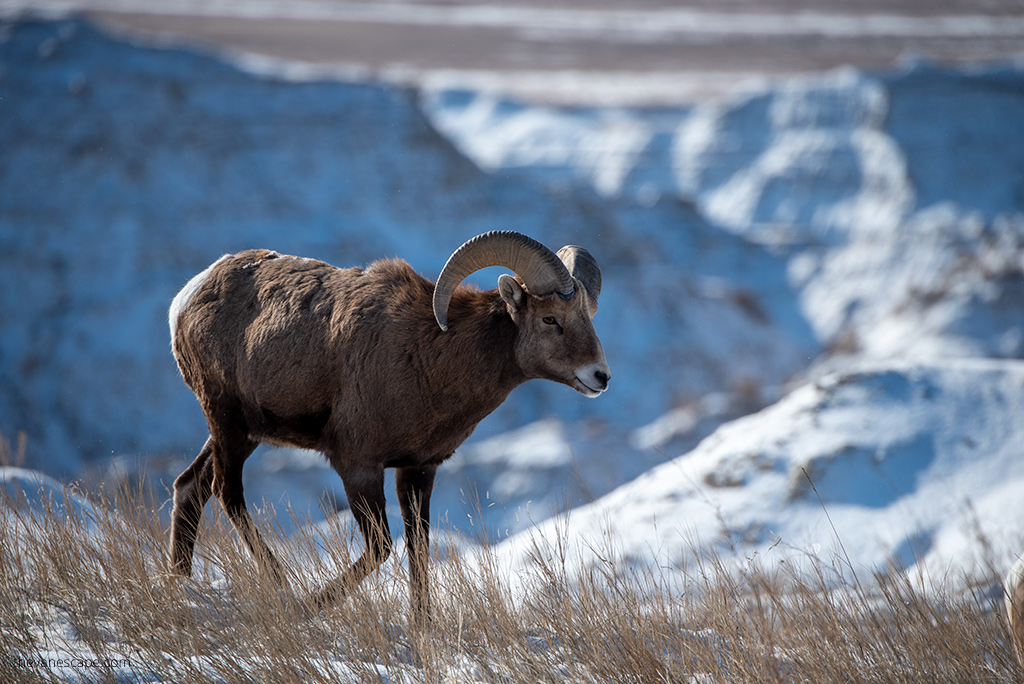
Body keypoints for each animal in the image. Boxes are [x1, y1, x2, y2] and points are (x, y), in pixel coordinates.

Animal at [165, 231, 606, 618]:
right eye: (550, 319)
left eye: (589, 317)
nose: (600, 376)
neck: (430, 353)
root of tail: (186, 299)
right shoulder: (358, 467)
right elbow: (381, 547)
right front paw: (309, 606)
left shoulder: (417, 471)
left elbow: (419, 551)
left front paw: (422, 629)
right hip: (226, 420)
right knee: (227, 492)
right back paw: (281, 588)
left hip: (241, 433)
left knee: (190, 487)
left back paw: (181, 581)